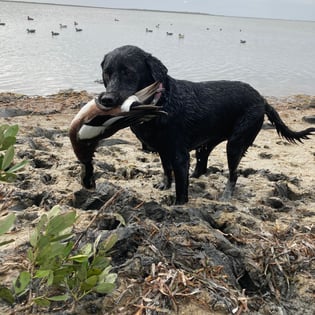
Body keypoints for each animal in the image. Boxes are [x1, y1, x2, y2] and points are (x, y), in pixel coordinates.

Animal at [99, 45, 315, 206]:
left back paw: (226, 195)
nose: (107, 100)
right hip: (207, 143)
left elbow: (181, 187)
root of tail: (261, 99)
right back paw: (197, 175)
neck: (161, 103)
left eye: (129, 72)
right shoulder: (163, 150)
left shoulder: (179, 155)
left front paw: (178, 205)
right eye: (106, 73)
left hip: (235, 144)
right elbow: (166, 170)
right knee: (202, 164)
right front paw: (165, 185)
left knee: (234, 174)